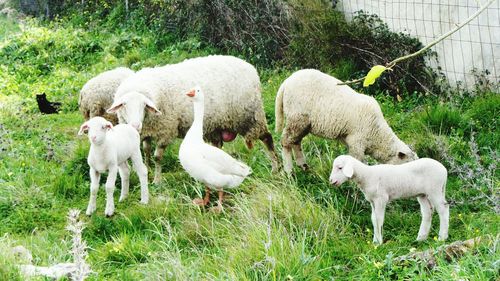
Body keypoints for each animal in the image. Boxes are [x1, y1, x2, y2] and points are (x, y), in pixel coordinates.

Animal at [107, 54, 280, 184]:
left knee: (267, 138)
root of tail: (250, 67)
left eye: (144, 105)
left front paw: (157, 180)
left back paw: (275, 168)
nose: (135, 125)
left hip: (249, 116)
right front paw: (147, 170)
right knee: (218, 146)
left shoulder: (165, 130)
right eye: (123, 105)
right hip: (218, 123)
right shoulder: (148, 131)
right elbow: (146, 151)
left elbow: (157, 157)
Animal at [276, 68, 416, 173]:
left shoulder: (349, 140)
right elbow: (357, 161)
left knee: (295, 141)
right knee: (285, 141)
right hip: (297, 117)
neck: (377, 135)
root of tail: (285, 83)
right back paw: (289, 171)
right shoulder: (357, 142)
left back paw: (303, 166)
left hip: (303, 123)